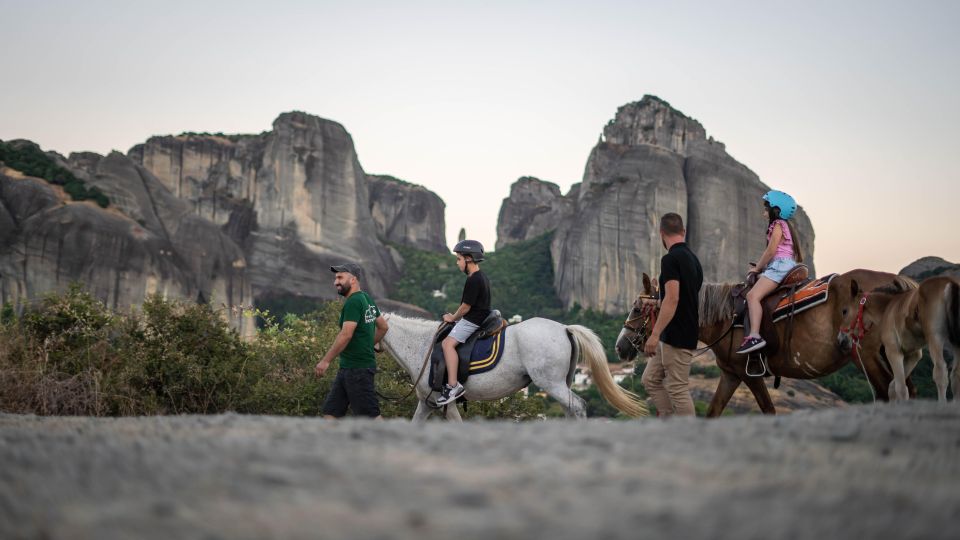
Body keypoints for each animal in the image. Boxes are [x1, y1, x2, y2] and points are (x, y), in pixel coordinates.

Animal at [378, 312, 648, 422]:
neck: (422, 344)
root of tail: (564, 328)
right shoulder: (427, 403)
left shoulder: (447, 403)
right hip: (561, 383)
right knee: (570, 408)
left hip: (550, 383)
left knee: (578, 406)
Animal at [616, 268, 908, 416]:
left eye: (638, 308)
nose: (620, 346)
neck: (727, 318)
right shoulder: (732, 375)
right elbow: (713, 410)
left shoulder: (750, 373)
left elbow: (768, 409)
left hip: (868, 357)